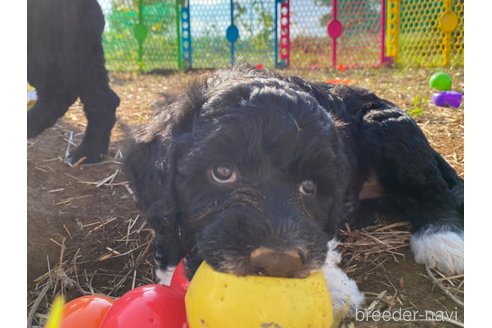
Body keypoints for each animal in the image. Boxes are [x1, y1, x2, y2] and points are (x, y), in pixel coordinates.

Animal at [125, 65, 464, 314]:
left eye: (309, 187)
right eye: (222, 172)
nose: (277, 262)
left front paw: (333, 290)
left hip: (385, 128)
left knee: (435, 190)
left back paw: (440, 239)